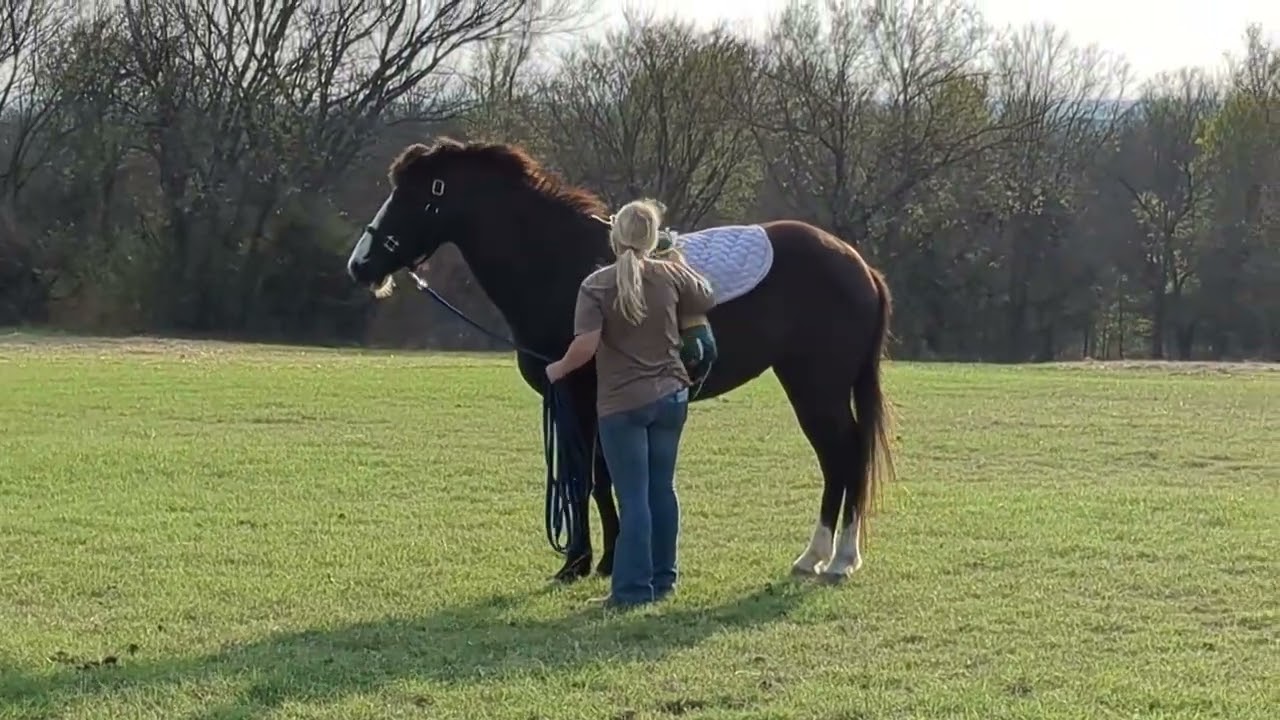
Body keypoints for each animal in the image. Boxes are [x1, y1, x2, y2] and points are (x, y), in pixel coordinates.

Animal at [344, 138, 896, 584]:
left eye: (414, 195)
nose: (360, 265)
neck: (560, 263)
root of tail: (860, 265)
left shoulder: (578, 398)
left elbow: (587, 479)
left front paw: (586, 562)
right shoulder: (581, 402)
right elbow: (594, 478)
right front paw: (599, 560)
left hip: (816, 389)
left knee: (843, 457)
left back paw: (835, 559)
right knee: (839, 460)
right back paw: (820, 558)